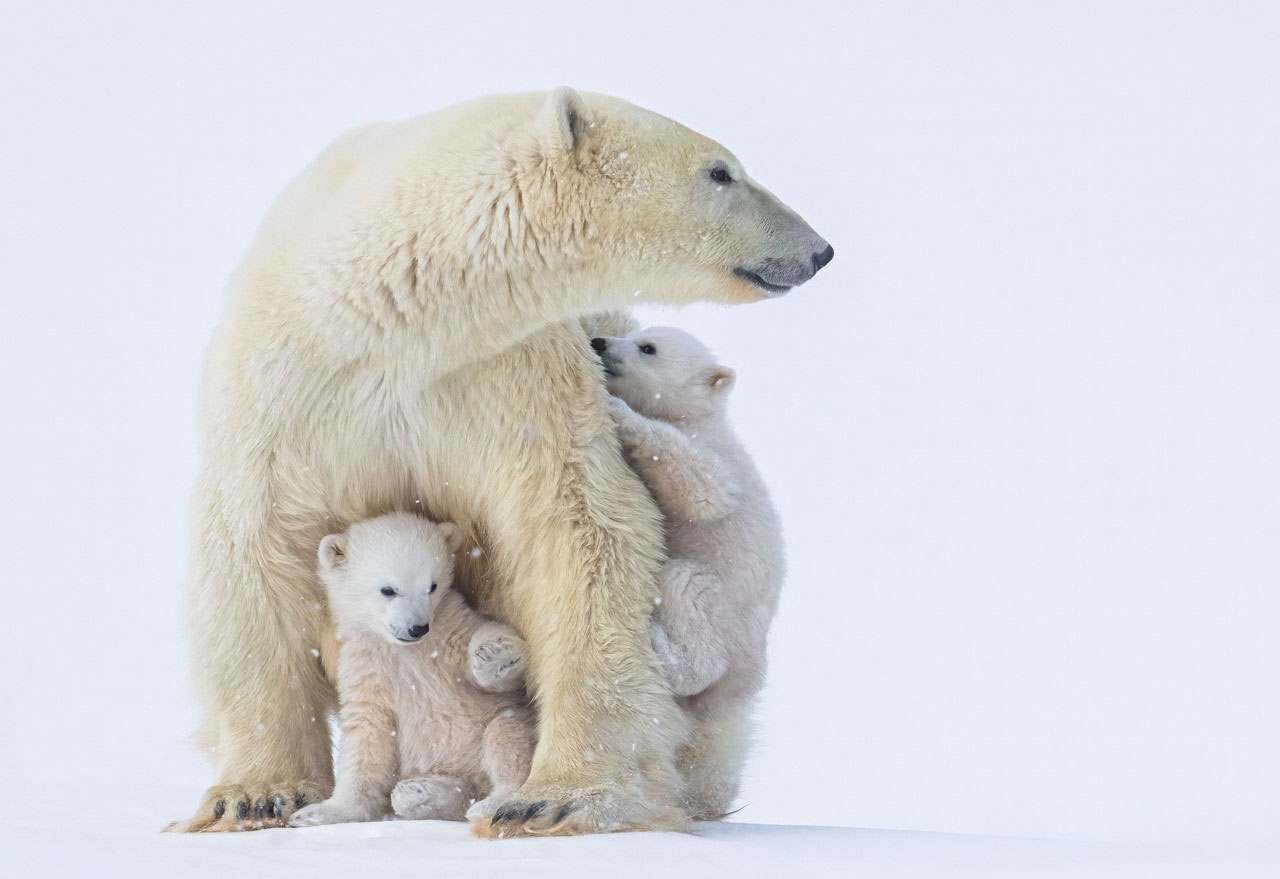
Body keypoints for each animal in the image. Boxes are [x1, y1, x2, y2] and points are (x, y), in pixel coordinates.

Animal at [286, 513, 535, 828]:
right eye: (388, 590)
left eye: (432, 586)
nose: (418, 628)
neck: (405, 650)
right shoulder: (366, 667)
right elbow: (367, 735)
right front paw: (315, 813)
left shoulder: (449, 630)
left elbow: (492, 667)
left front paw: (494, 656)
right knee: (459, 787)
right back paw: (421, 792)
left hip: (504, 721)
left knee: (507, 737)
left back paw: (490, 803)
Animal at [593, 326, 785, 820]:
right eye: (636, 334)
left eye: (648, 348)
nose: (599, 341)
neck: (702, 416)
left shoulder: (718, 461)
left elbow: (701, 488)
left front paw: (621, 413)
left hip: (724, 603)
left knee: (686, 594)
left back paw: (662, 646)